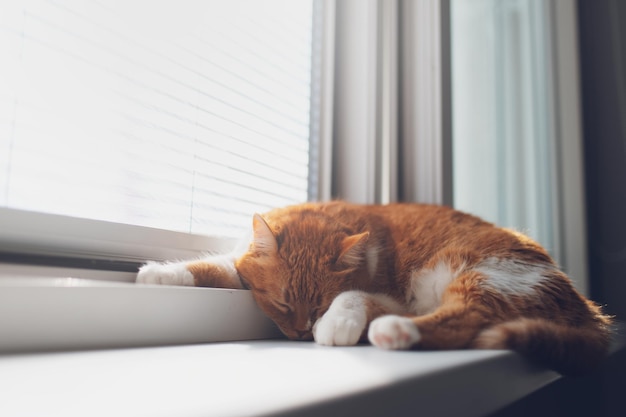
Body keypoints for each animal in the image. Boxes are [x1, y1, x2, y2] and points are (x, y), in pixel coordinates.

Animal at [136, 200, 608, 376]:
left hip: (483, 274)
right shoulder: (238, 263)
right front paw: (160, 274)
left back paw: (395, 332)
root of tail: (589, 311)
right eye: (282, 303)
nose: (302, 332)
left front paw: (336, 324)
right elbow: (214, 266)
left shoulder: (389, 293)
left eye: (317, 305)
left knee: (464, 318)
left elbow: (352, 295)